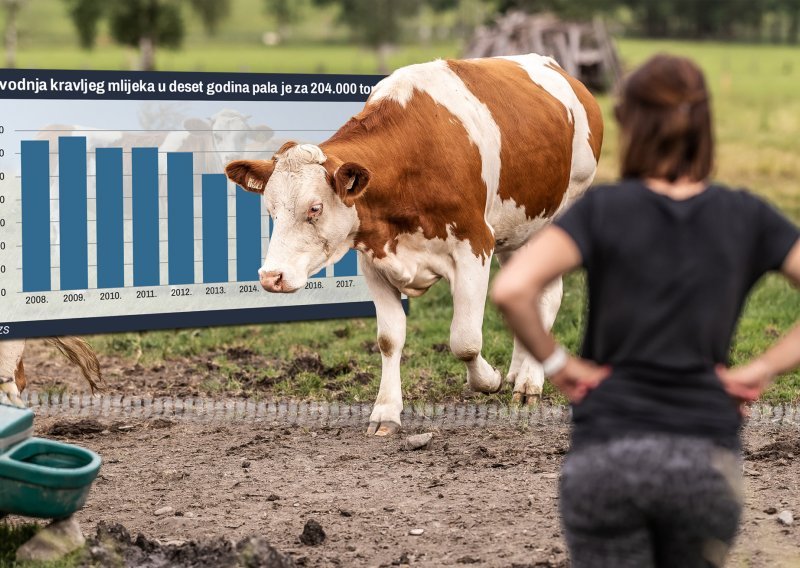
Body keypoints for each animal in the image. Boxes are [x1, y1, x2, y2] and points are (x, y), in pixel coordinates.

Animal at [222, 54, 604, 434]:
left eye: (314, 208)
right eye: (271, 209)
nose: (270, 276)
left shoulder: (474, 245)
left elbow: (465, 340)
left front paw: (489, 380)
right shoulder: (374, 261)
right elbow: (389, 339)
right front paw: (386, 412)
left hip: (558, 219)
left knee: (548, 298)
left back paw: (528, 382)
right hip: (517, 232)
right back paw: (517, 373)